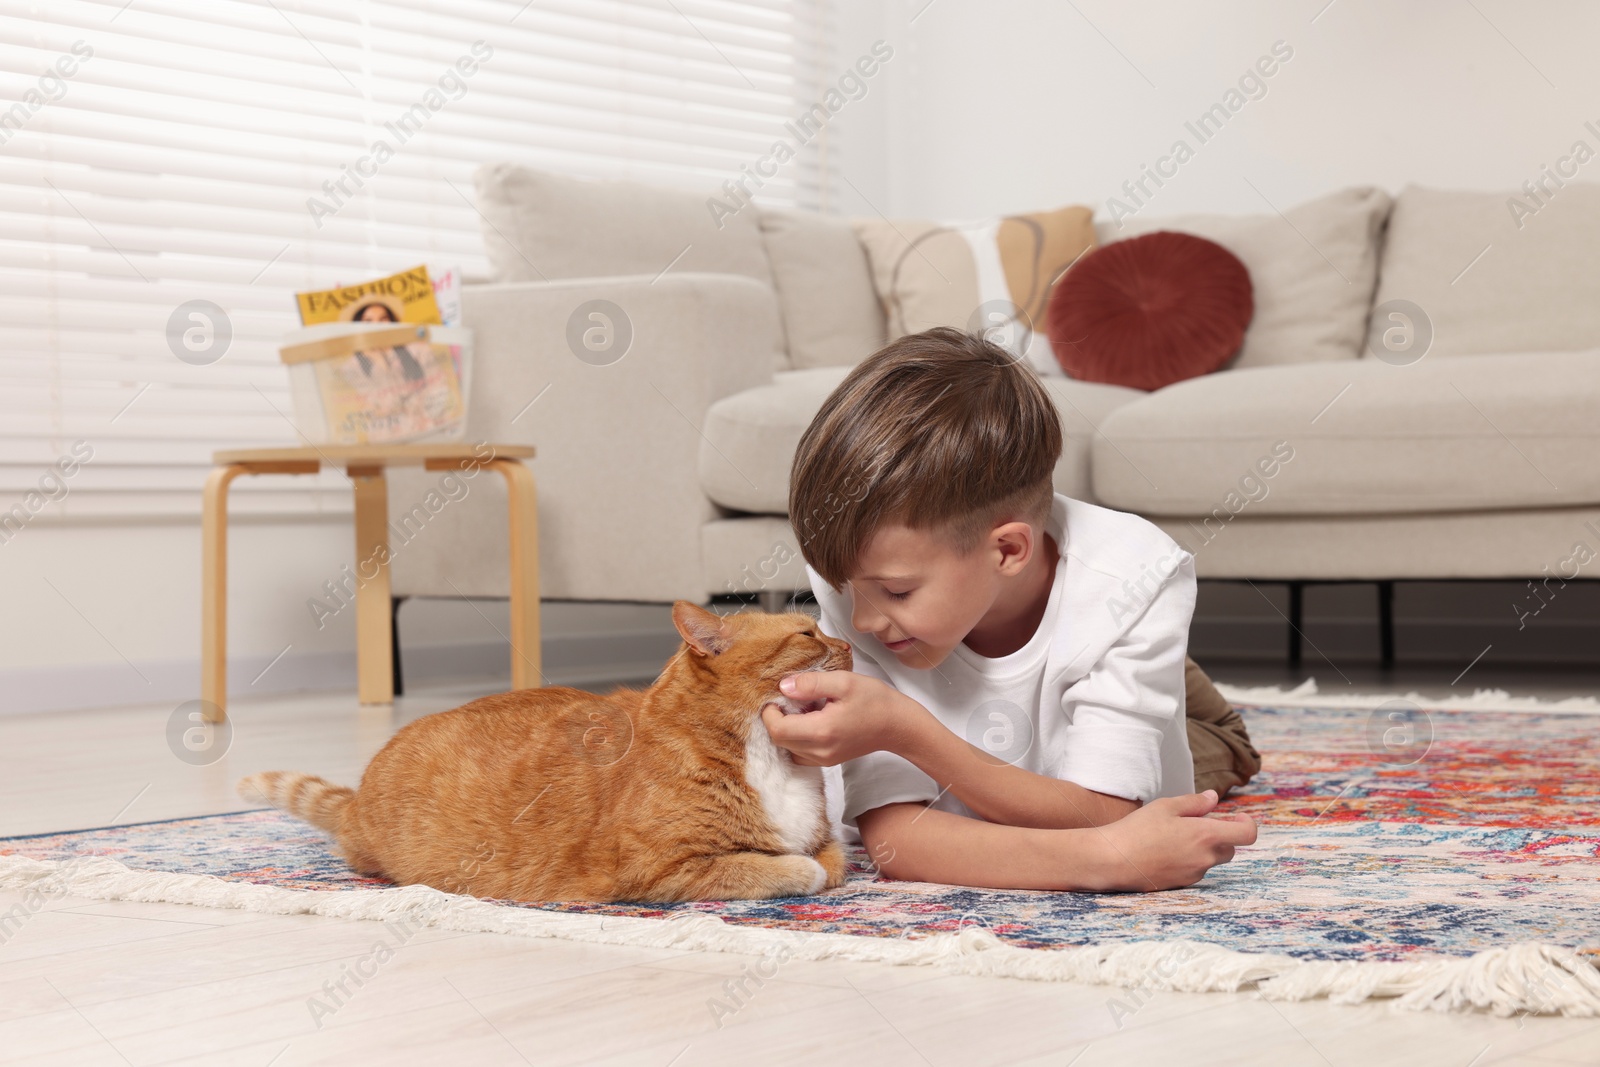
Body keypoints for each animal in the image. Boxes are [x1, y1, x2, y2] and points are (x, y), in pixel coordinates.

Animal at [236, 607, 851, 902]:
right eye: (807, 634)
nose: (847, 644)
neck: (771, 756)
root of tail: (358, 797)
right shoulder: (660, 870)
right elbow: (787, 868)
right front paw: (794, 870)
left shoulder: (826, 839)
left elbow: (832, 860)